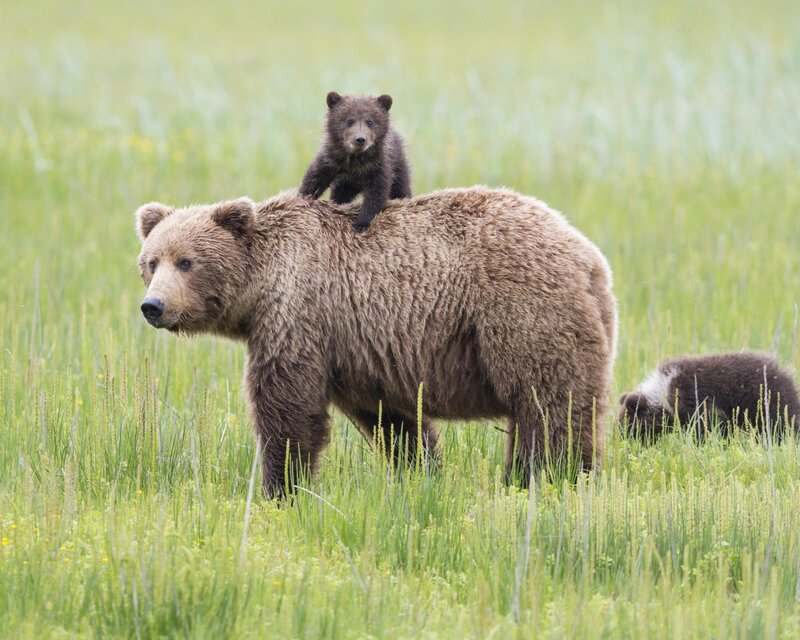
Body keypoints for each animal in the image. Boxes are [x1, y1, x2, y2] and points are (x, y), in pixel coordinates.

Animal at [135, 187, 618, 499]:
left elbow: (286, 406)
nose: (153, 306)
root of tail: (589, 258)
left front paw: (280, 488)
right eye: (151, 261)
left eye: (187, 261)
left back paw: (555, 479)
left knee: (548, 404)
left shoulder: (298, 313)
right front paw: (420, 473)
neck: (259, 287)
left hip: (521, 311)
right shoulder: (361, 348)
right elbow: (393, 419)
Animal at [298, 91, 412, 233]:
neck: (354, 160)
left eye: (370, 121)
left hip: (399, 166)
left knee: (401, 189)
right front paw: (300, 197)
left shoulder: (377, 165)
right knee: (339, 194)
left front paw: (361, 224)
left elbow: (376, 193)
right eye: (349, 120)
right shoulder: (331, 160)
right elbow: (315, 178)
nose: (360, 139)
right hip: (345, 183)